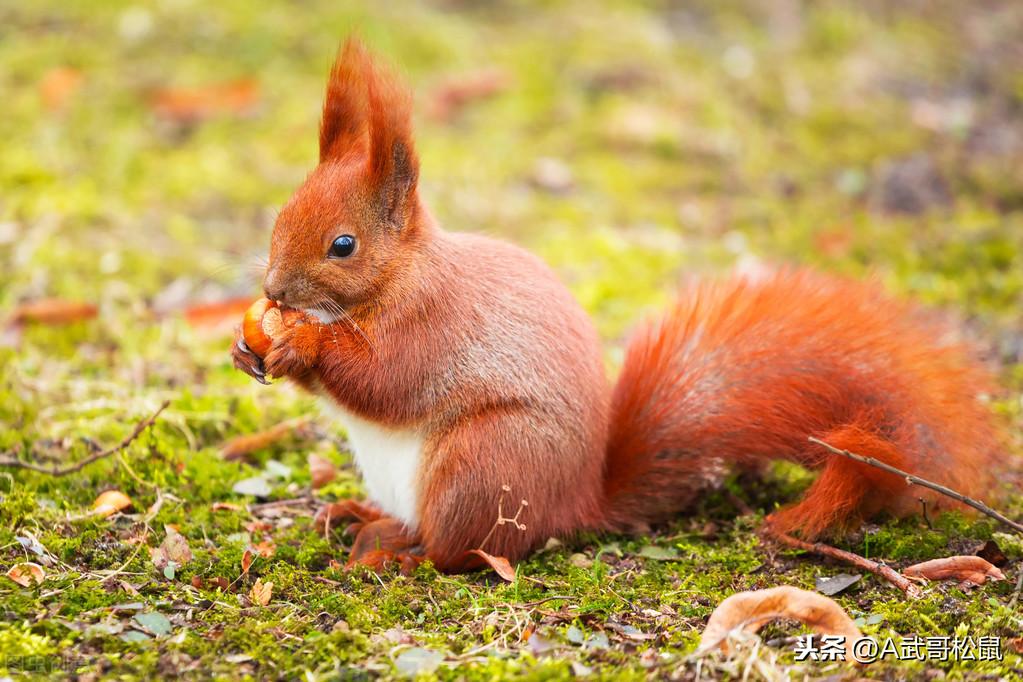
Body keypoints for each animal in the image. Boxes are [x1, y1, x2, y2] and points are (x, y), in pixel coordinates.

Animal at [230, 38, 998, 576]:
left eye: (343, 245)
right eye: (280, 216)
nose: (274, 292)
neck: (402, 276)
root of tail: (575, 504)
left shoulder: (435, 325)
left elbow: (386, 380)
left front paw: (304, 346)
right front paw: (247, 347)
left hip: (483, 464)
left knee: (459, 551)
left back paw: (399, 554)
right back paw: (359, 515)